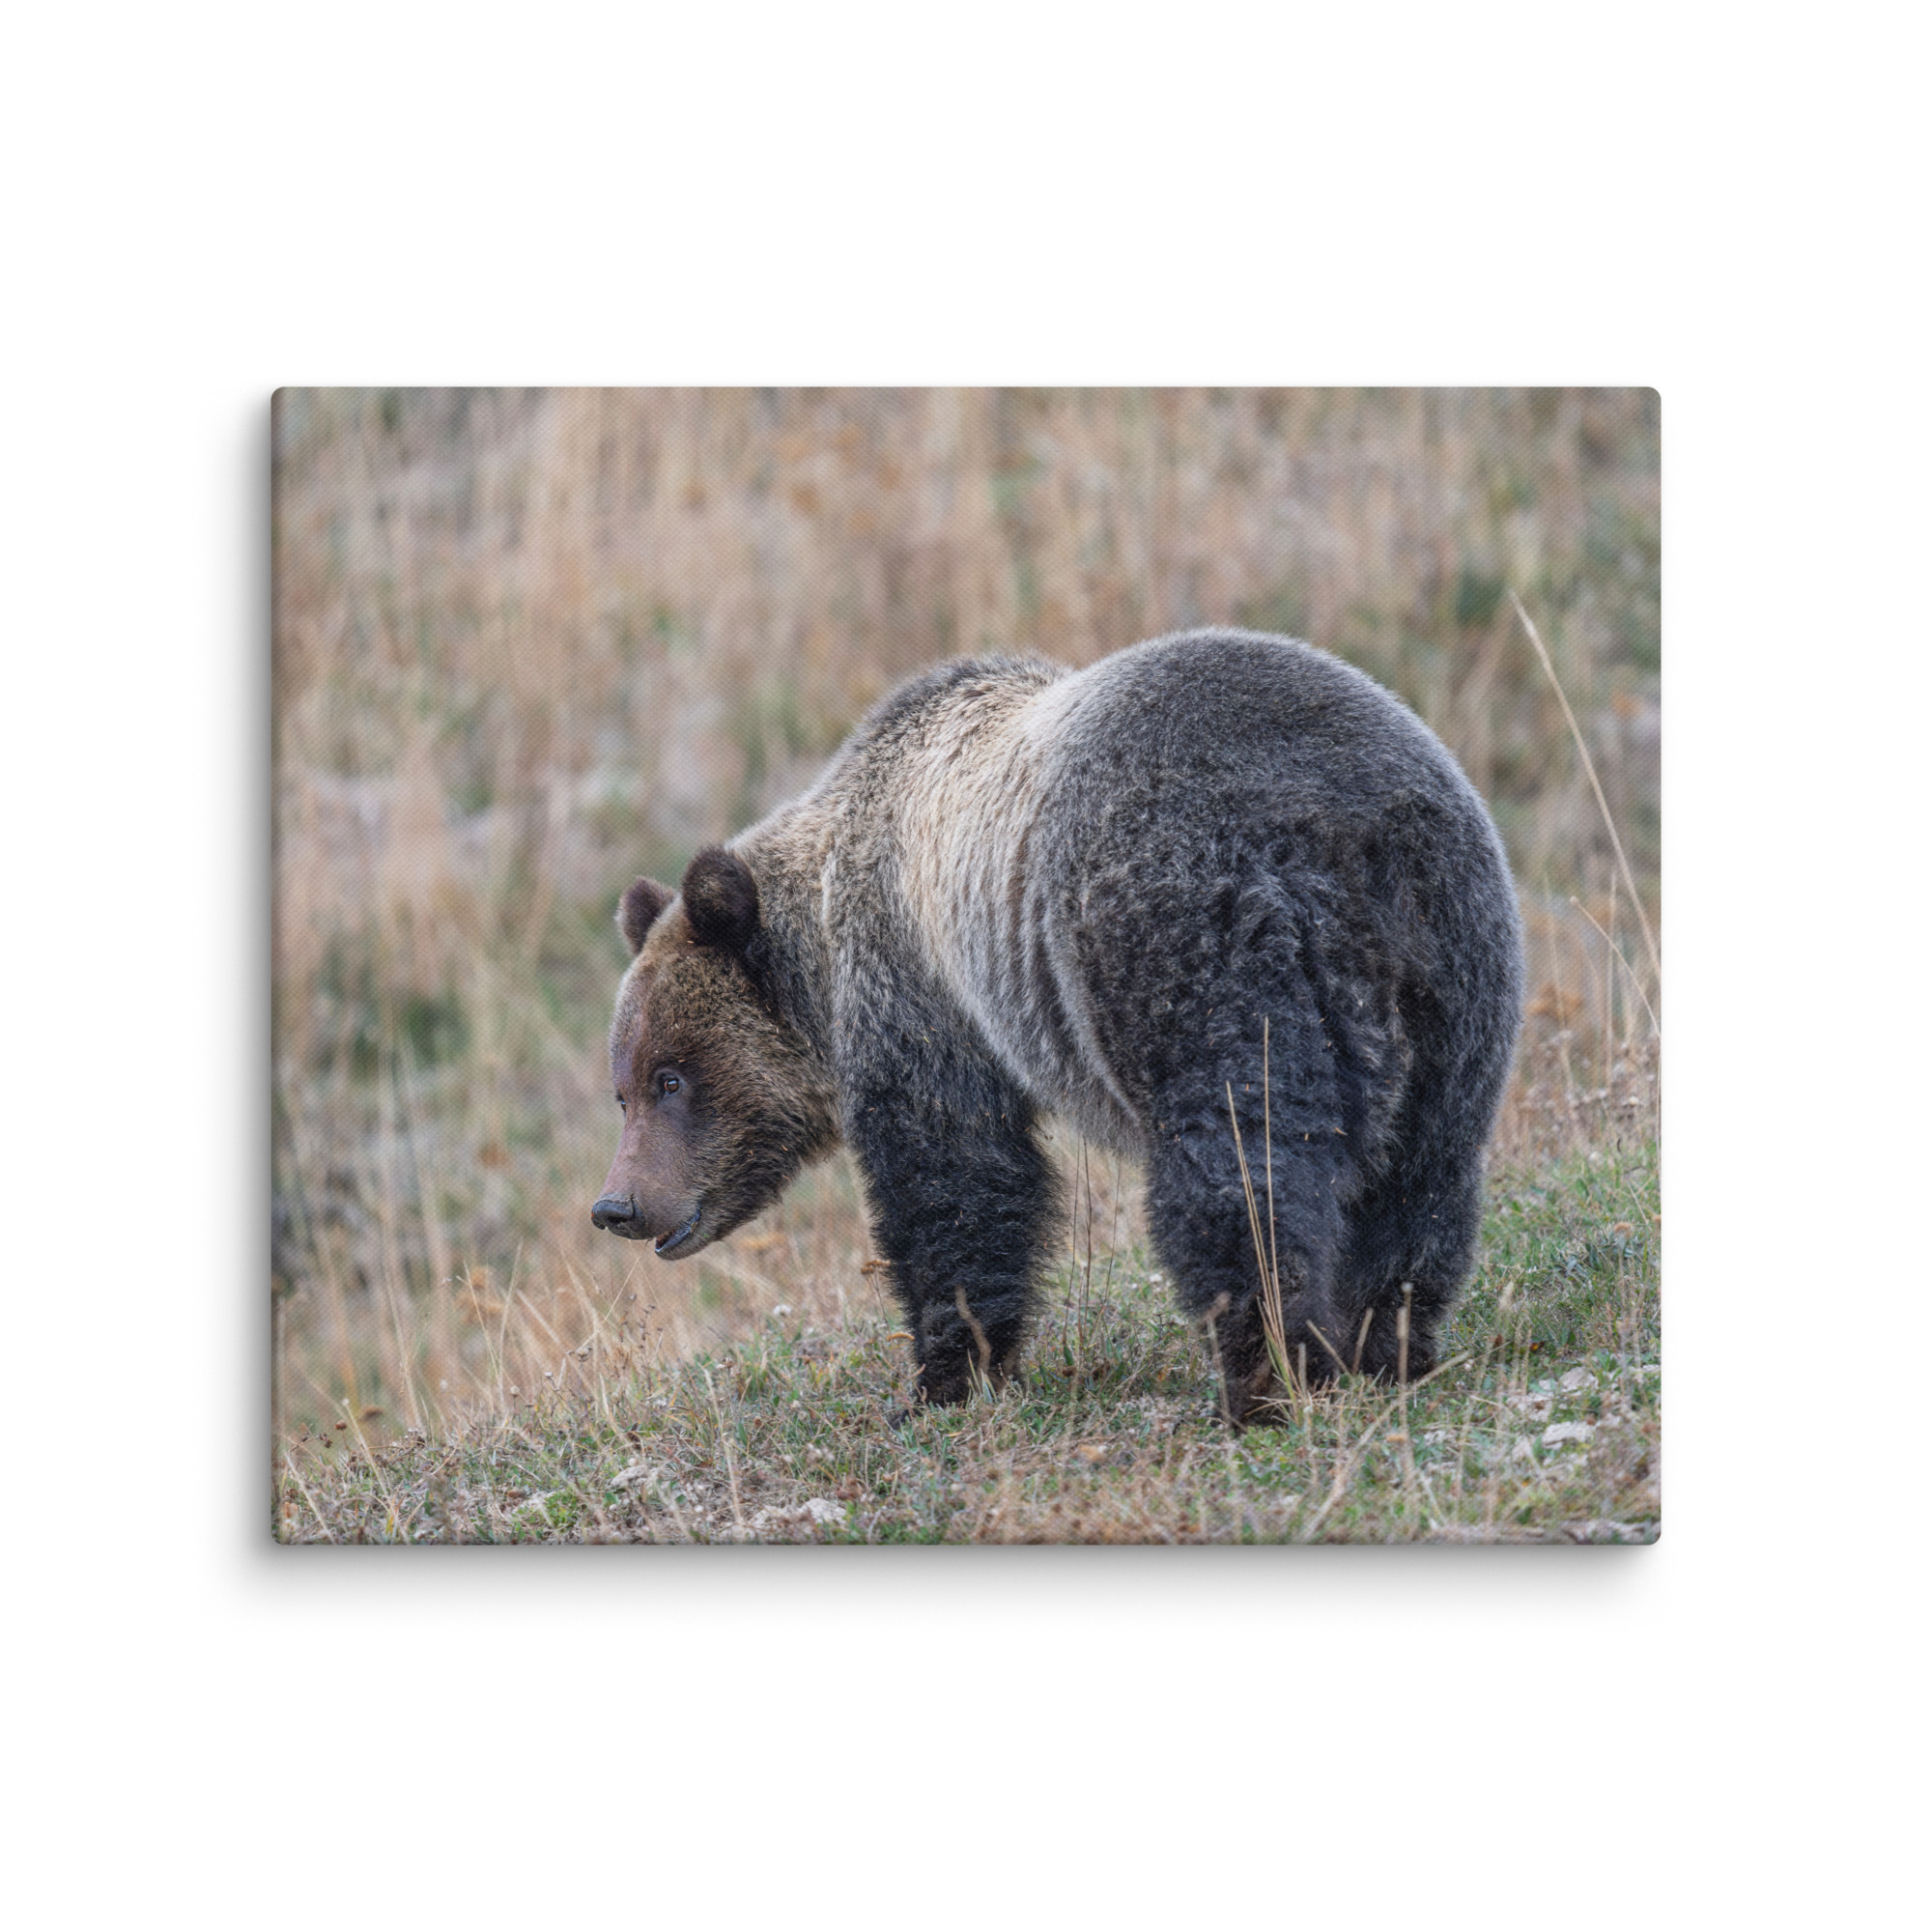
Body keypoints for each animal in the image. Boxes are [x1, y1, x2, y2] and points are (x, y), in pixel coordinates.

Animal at [592, 627, 1523, 1421]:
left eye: (671, 1077)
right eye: (623, 1089)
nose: (617, 1205)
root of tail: (1343, 832)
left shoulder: (921, 988)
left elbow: (955, 1178)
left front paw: (942, 1378)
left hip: (1190, 939)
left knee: (1241, 1168)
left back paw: (1264, 1378)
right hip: (1455, 965)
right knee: (1423, 1172)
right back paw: (1386, 1345)